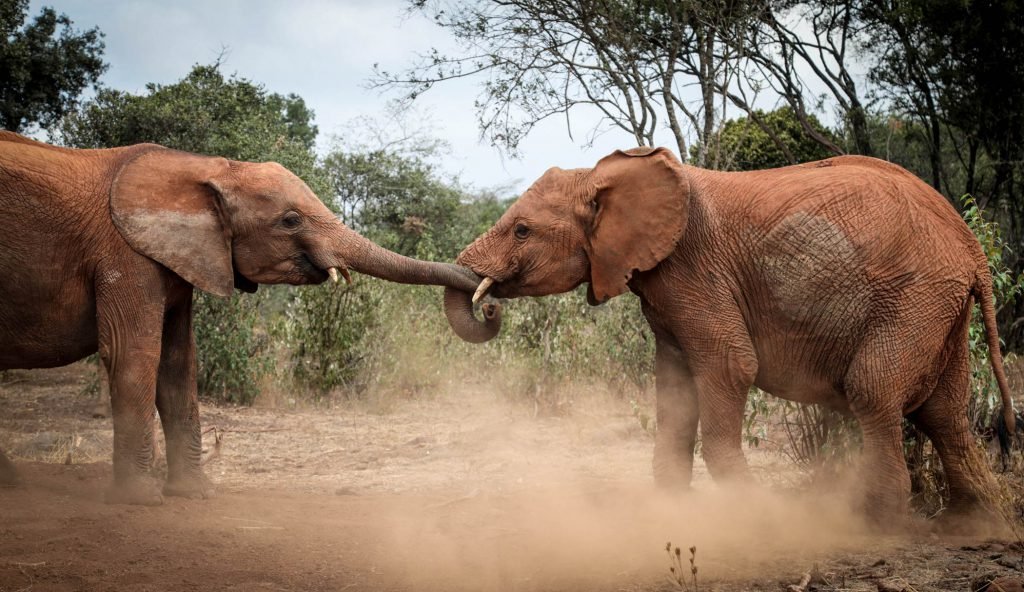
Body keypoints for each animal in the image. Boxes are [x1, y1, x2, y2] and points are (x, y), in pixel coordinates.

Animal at [0, 132, 497, 501]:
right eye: (290, 221)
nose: (489, 303)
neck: (206, 169)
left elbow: (179, 362)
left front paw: (196, 495)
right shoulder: (124, 253)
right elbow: (134, 354)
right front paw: (140, 501)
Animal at [446, 147, 1015, 524]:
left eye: (521, 230)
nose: (488, 304)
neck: (606, 174)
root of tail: (970, 245)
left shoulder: (695, 271)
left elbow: (729, 365)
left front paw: (754, 514)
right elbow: (674, 385)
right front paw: (670, 511)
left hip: (914, 296)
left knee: (874, 391)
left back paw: (874, 525)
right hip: (940, 308)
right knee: (946, 413)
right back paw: (974, 525)